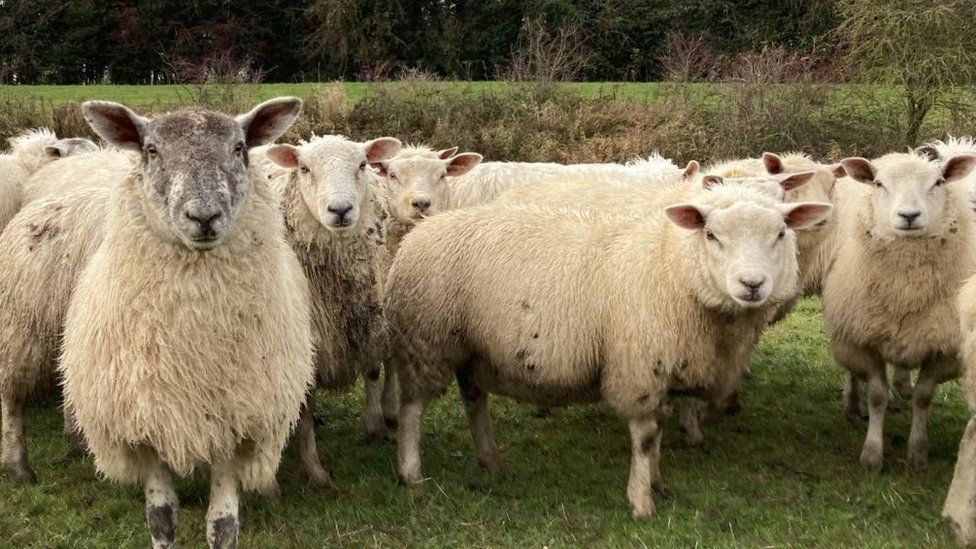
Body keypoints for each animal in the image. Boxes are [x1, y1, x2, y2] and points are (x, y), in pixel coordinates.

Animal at [57, 99, 314, 548]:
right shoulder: (144, 430)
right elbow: (161, 518)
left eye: (239, 148)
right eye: (152, 150)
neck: (192, 350)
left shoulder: (235, 428)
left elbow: (223, 525)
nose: (204, 216)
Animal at [260, 133, 400, 484]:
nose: (340, 210)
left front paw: (375, 425)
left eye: (362, 164)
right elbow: (306, 404)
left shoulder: (365, 317)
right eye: (304, 168)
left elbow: (372, 369)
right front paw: (314, 467)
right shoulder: (308, 341)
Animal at [386, 180, 828, 520]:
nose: (752, 285)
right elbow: (646, 435)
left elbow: (660, 428)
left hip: (473, 347)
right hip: (427, 340)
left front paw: (657, 481)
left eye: (781, 234)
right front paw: (642, 502)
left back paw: (491, 461)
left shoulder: (662, 366)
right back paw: (411, 473)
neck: (670, 267)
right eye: (711, 235)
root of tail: (420, 232)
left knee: (474, 399)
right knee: (412, 407)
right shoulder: (639, 365)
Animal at [824, 151, 976, 470]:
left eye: (938, 182)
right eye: (879, 184)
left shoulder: (943, 350)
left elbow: (923, 397)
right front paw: (871, 454)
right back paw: (852, 403)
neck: (905, 291)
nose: (909, 216)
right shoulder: (862, 340)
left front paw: (918, 452)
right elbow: (877, 396)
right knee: (853, 374)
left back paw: (901, 385)